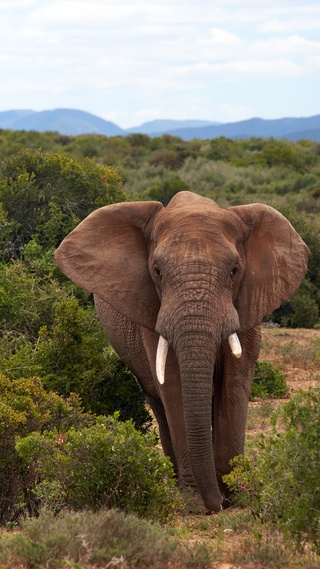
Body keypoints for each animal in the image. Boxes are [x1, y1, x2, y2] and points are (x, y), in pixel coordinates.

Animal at [55, 190, 310, 510]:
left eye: (234, 271)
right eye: (157, 272)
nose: (219, 504)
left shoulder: (248, 303)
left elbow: (235, 381)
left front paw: (239, 494)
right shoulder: (153, 311)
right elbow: (173, 382)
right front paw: (197, 502)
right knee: (158, 403)